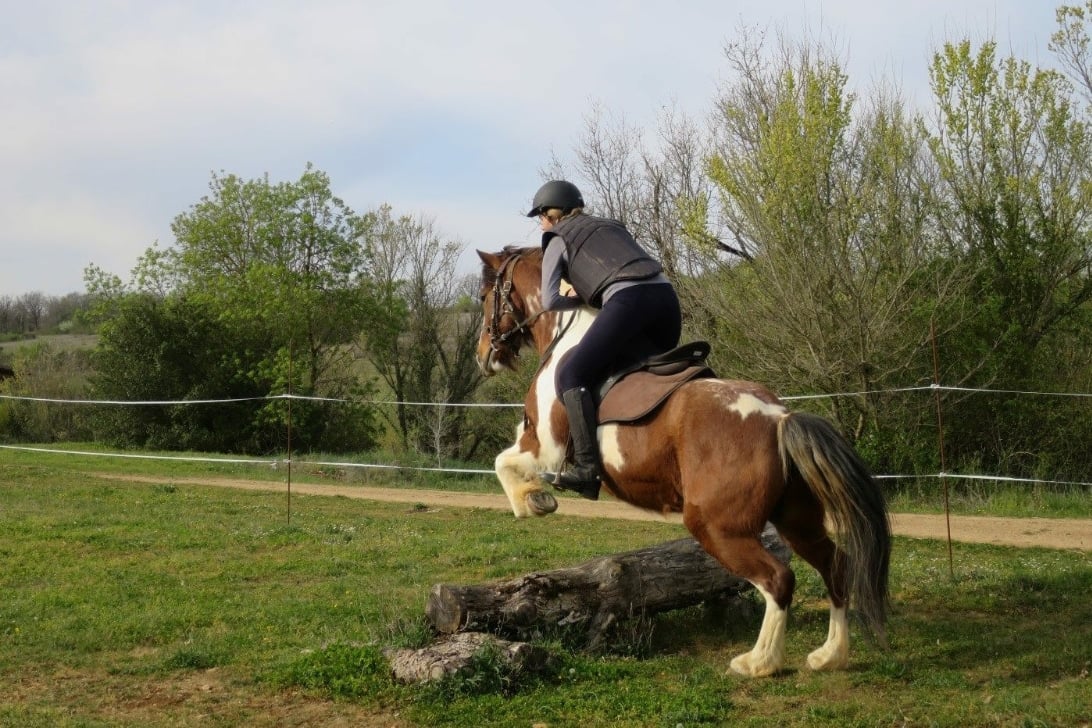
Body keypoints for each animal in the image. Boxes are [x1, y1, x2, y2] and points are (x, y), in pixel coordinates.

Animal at [473, 244, 891, 676]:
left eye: (485, 297)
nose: (482, 355)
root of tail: (780, 418)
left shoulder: (545, 447)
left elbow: (502, 462)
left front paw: (533, 500)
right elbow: (504, 459)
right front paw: (533, 497)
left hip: (718, 526)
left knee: (778, 579)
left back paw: (759, 662)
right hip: (796, 520)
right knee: (835, 567)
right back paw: (830, 655)